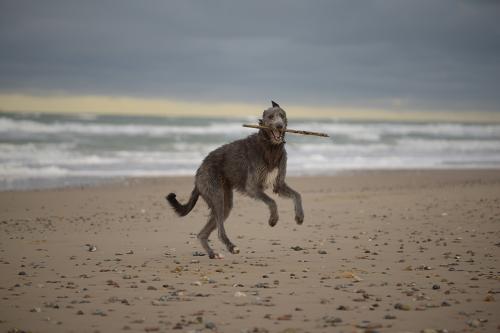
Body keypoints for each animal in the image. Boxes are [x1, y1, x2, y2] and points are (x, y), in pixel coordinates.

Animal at [166, 100, 302, 256]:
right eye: (271, 116)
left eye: (282, 115)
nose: (280, 125)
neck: (270, 147)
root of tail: (199, 171)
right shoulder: (252, 187)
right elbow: (272, 201)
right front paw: (273, 219)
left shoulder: (279, 184)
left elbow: (297, 195)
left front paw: (300, 216)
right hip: (216, 194)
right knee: (219, 230)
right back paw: (231, 246)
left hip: (225, 201)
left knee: (202, 233)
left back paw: (213, 254)